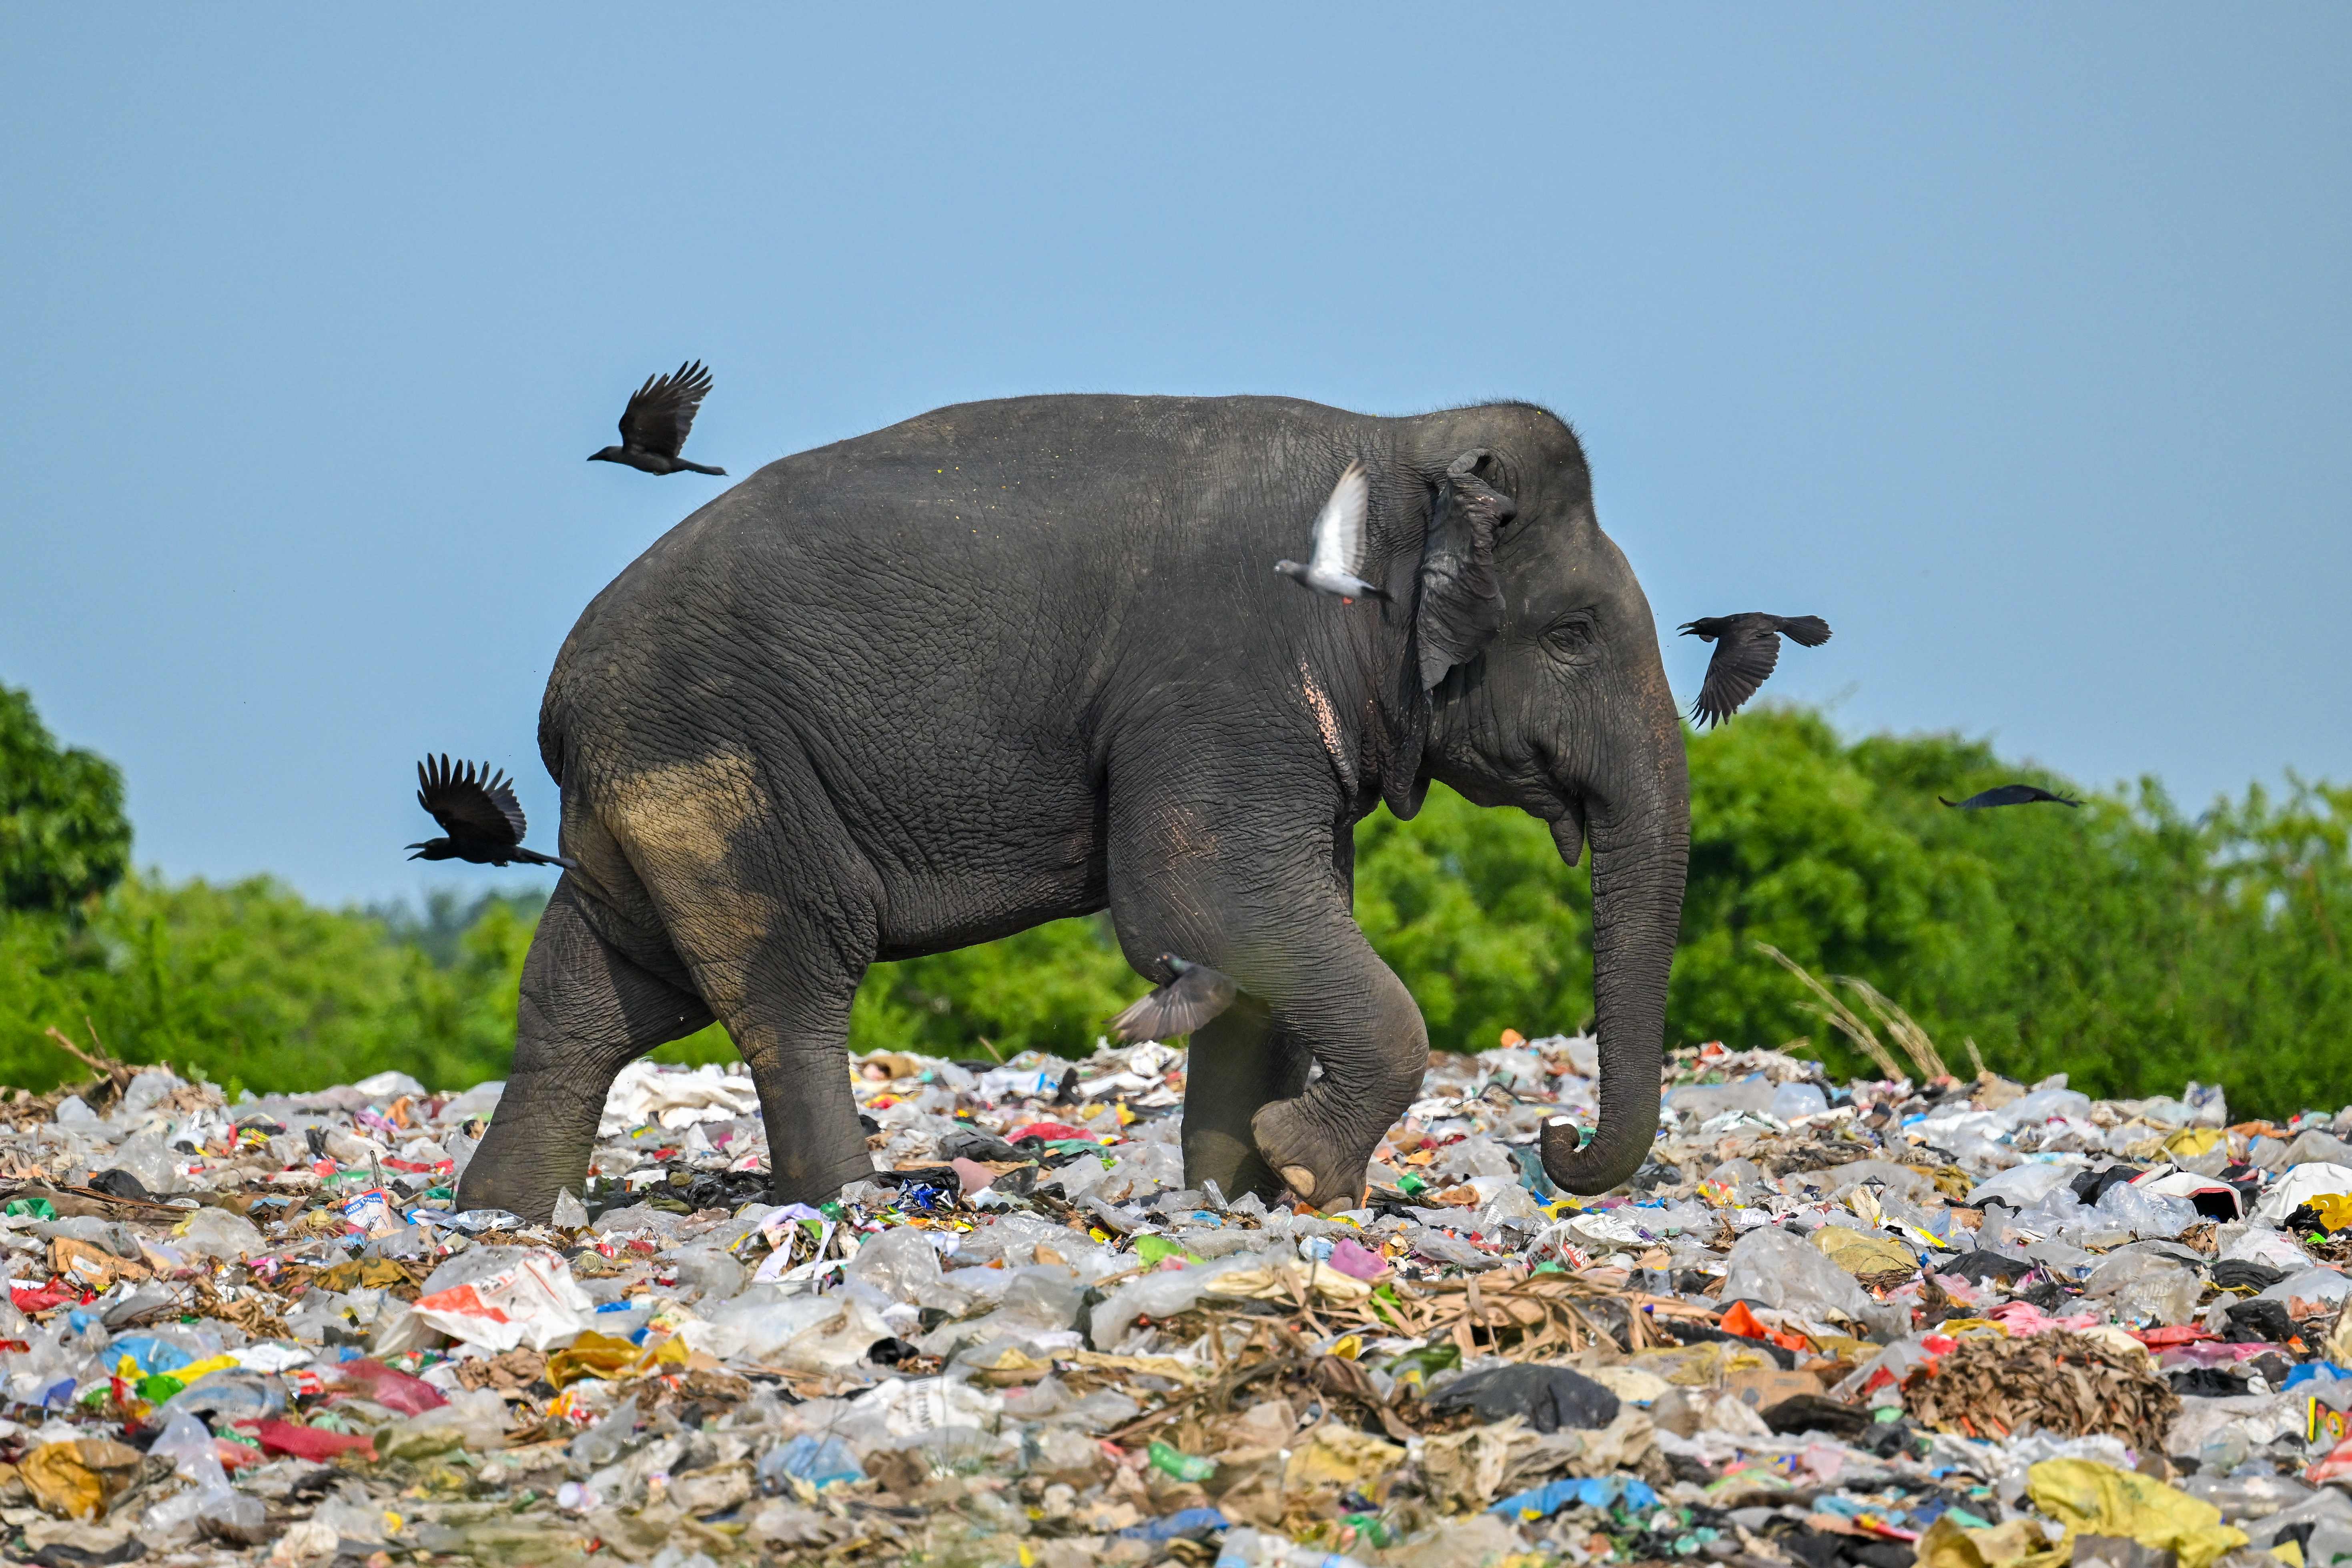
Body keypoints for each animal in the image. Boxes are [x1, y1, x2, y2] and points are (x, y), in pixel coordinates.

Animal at [449, 395, 1684, 1222]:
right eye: (1572, 633)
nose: (1558, 1140)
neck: (1394, 445)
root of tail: (561, 692)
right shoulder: (1220, 681)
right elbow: (1202, 900)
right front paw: (1300, 1168)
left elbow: (1253, 941)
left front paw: (1235, 1192)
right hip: (722, 761)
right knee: (791, 973)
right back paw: (853, 1202)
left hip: (647, 795)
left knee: (598, 990)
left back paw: (505, 1213)